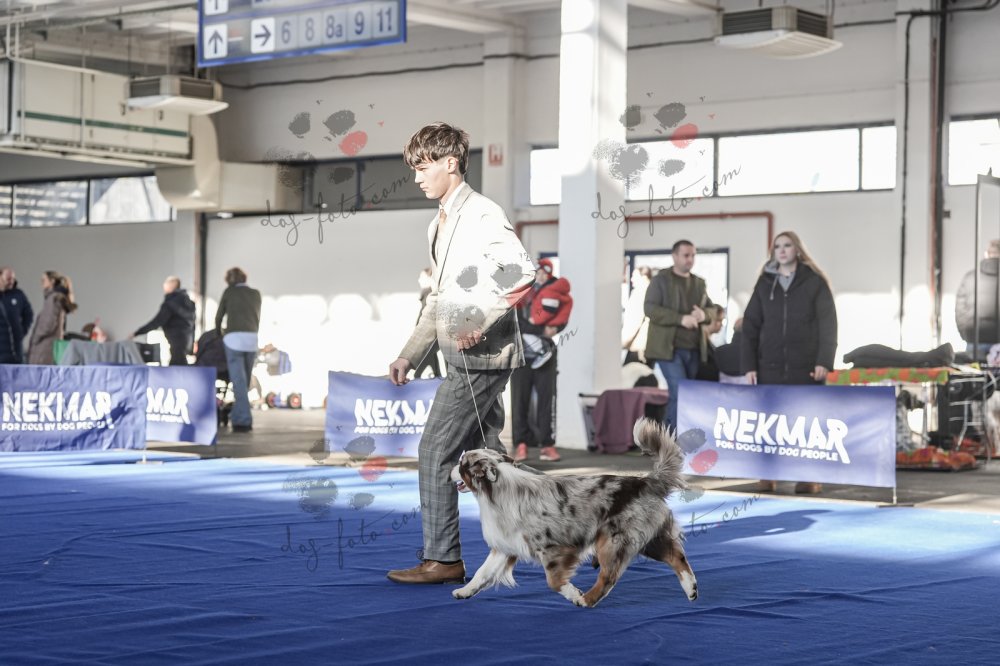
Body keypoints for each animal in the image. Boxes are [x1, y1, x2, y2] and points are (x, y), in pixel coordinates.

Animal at [450, 418, 697, 607]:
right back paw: (691, 589)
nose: (449, 469)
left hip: (613, 541)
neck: (498, 489)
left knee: (608, 575)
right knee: (677, 557)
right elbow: (483, 571)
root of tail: (644, 482)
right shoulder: (505, 545)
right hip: (649, 538)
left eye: (462, 464)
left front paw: (573, 593)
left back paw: (587, 600)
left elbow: (554, 580)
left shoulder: (554, 548)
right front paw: (465, 591)